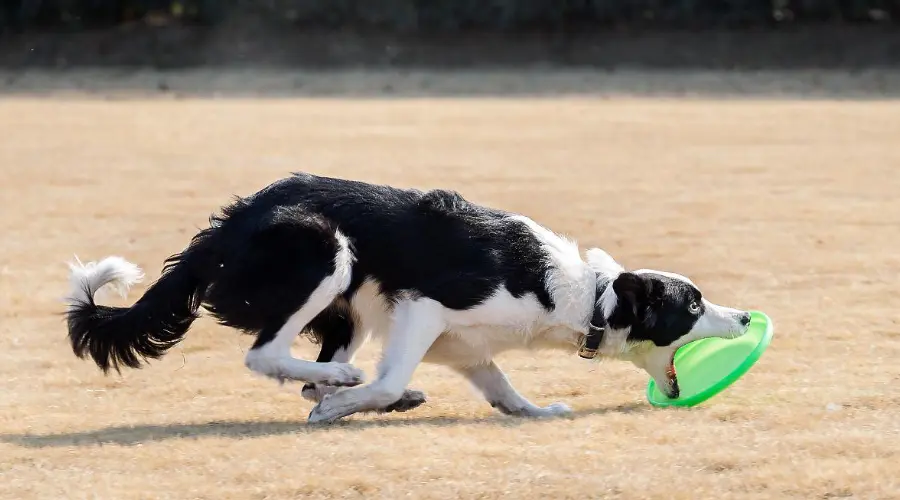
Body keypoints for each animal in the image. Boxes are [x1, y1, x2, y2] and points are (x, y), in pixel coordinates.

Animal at [65, 172, 752, 422]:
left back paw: (344, 388)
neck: (588, 296)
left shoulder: (464, 347)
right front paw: (350, 403)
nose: (747, 316)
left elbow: (503, 387)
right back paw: (344, 385)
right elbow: (389, 377)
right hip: (326, 252)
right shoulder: (426, 307)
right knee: (265, 355)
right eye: (693, 305)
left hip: (351, 307)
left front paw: (537, 411)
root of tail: (223, 229)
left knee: (307, 369)